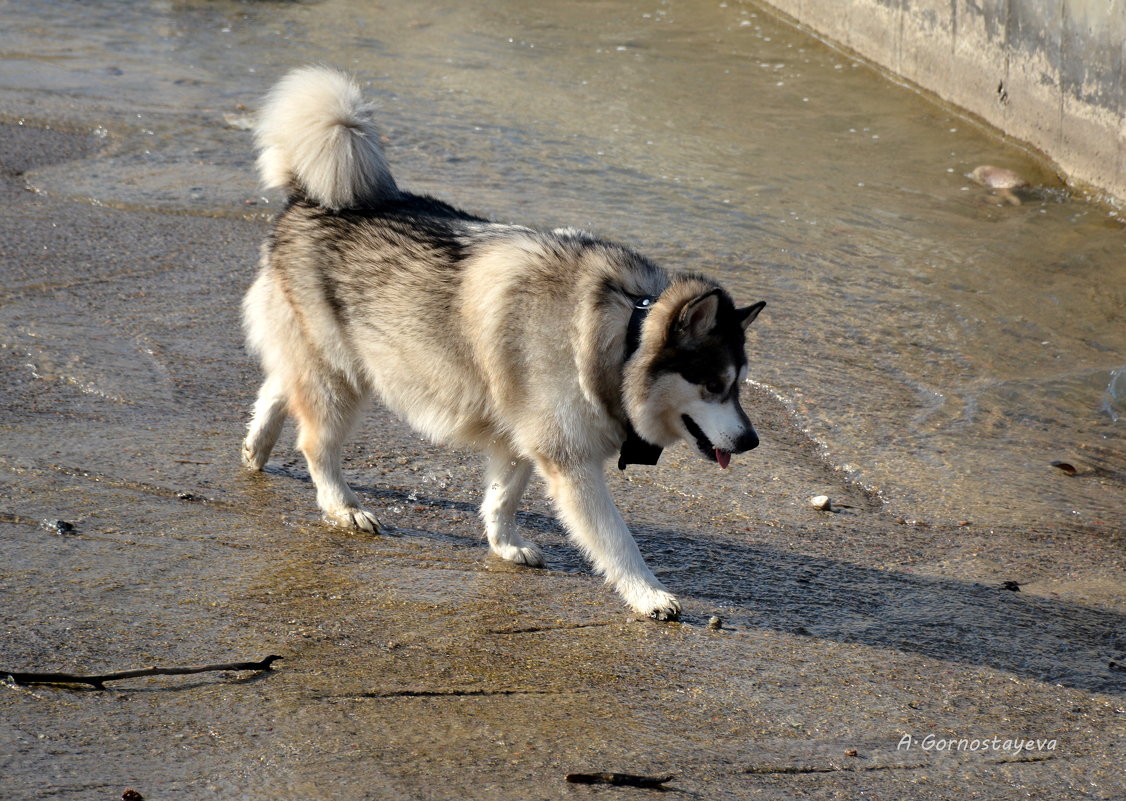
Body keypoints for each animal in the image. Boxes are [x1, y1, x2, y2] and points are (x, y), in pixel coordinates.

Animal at [239, 69, 765, 621]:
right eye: (713, 385)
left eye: (738, 386)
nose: (751, 441)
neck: (622, 334)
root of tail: (309, 196)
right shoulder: (569, 460)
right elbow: (617, 540)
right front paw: (647, 593)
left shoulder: (520, 437)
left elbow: (501, 497)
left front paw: (503, 543)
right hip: (341, 377)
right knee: (315, 442)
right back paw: (342, 506)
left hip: (324, 363)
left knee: (277, 387)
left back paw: (256, 447)